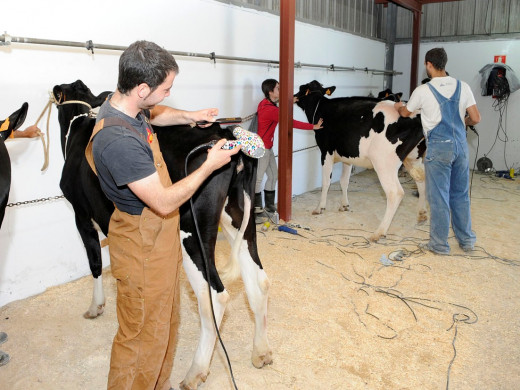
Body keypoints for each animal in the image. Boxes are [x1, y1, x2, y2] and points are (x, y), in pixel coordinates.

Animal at [52, 80, 272, 388]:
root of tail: (228, 135)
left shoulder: (81, 215)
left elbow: (95, 263)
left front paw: (95, 307)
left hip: (192, 235)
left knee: (215, 297)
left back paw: (195, 372)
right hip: (239, 219)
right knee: (258, 280)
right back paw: (261, 351)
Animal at [294, 80, 424, 241]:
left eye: (301, 88)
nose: (293, 96)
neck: (321, 108)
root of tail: (415, 114)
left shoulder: (326, 152)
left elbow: (326, 182)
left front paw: (320, 208)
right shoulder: (348, 156)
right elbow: (344, 181)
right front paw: (344, 205)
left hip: (384, 163)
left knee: (395, 193)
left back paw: (379, 232)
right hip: (413, 158)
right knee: (422, 180)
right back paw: (422, 215)